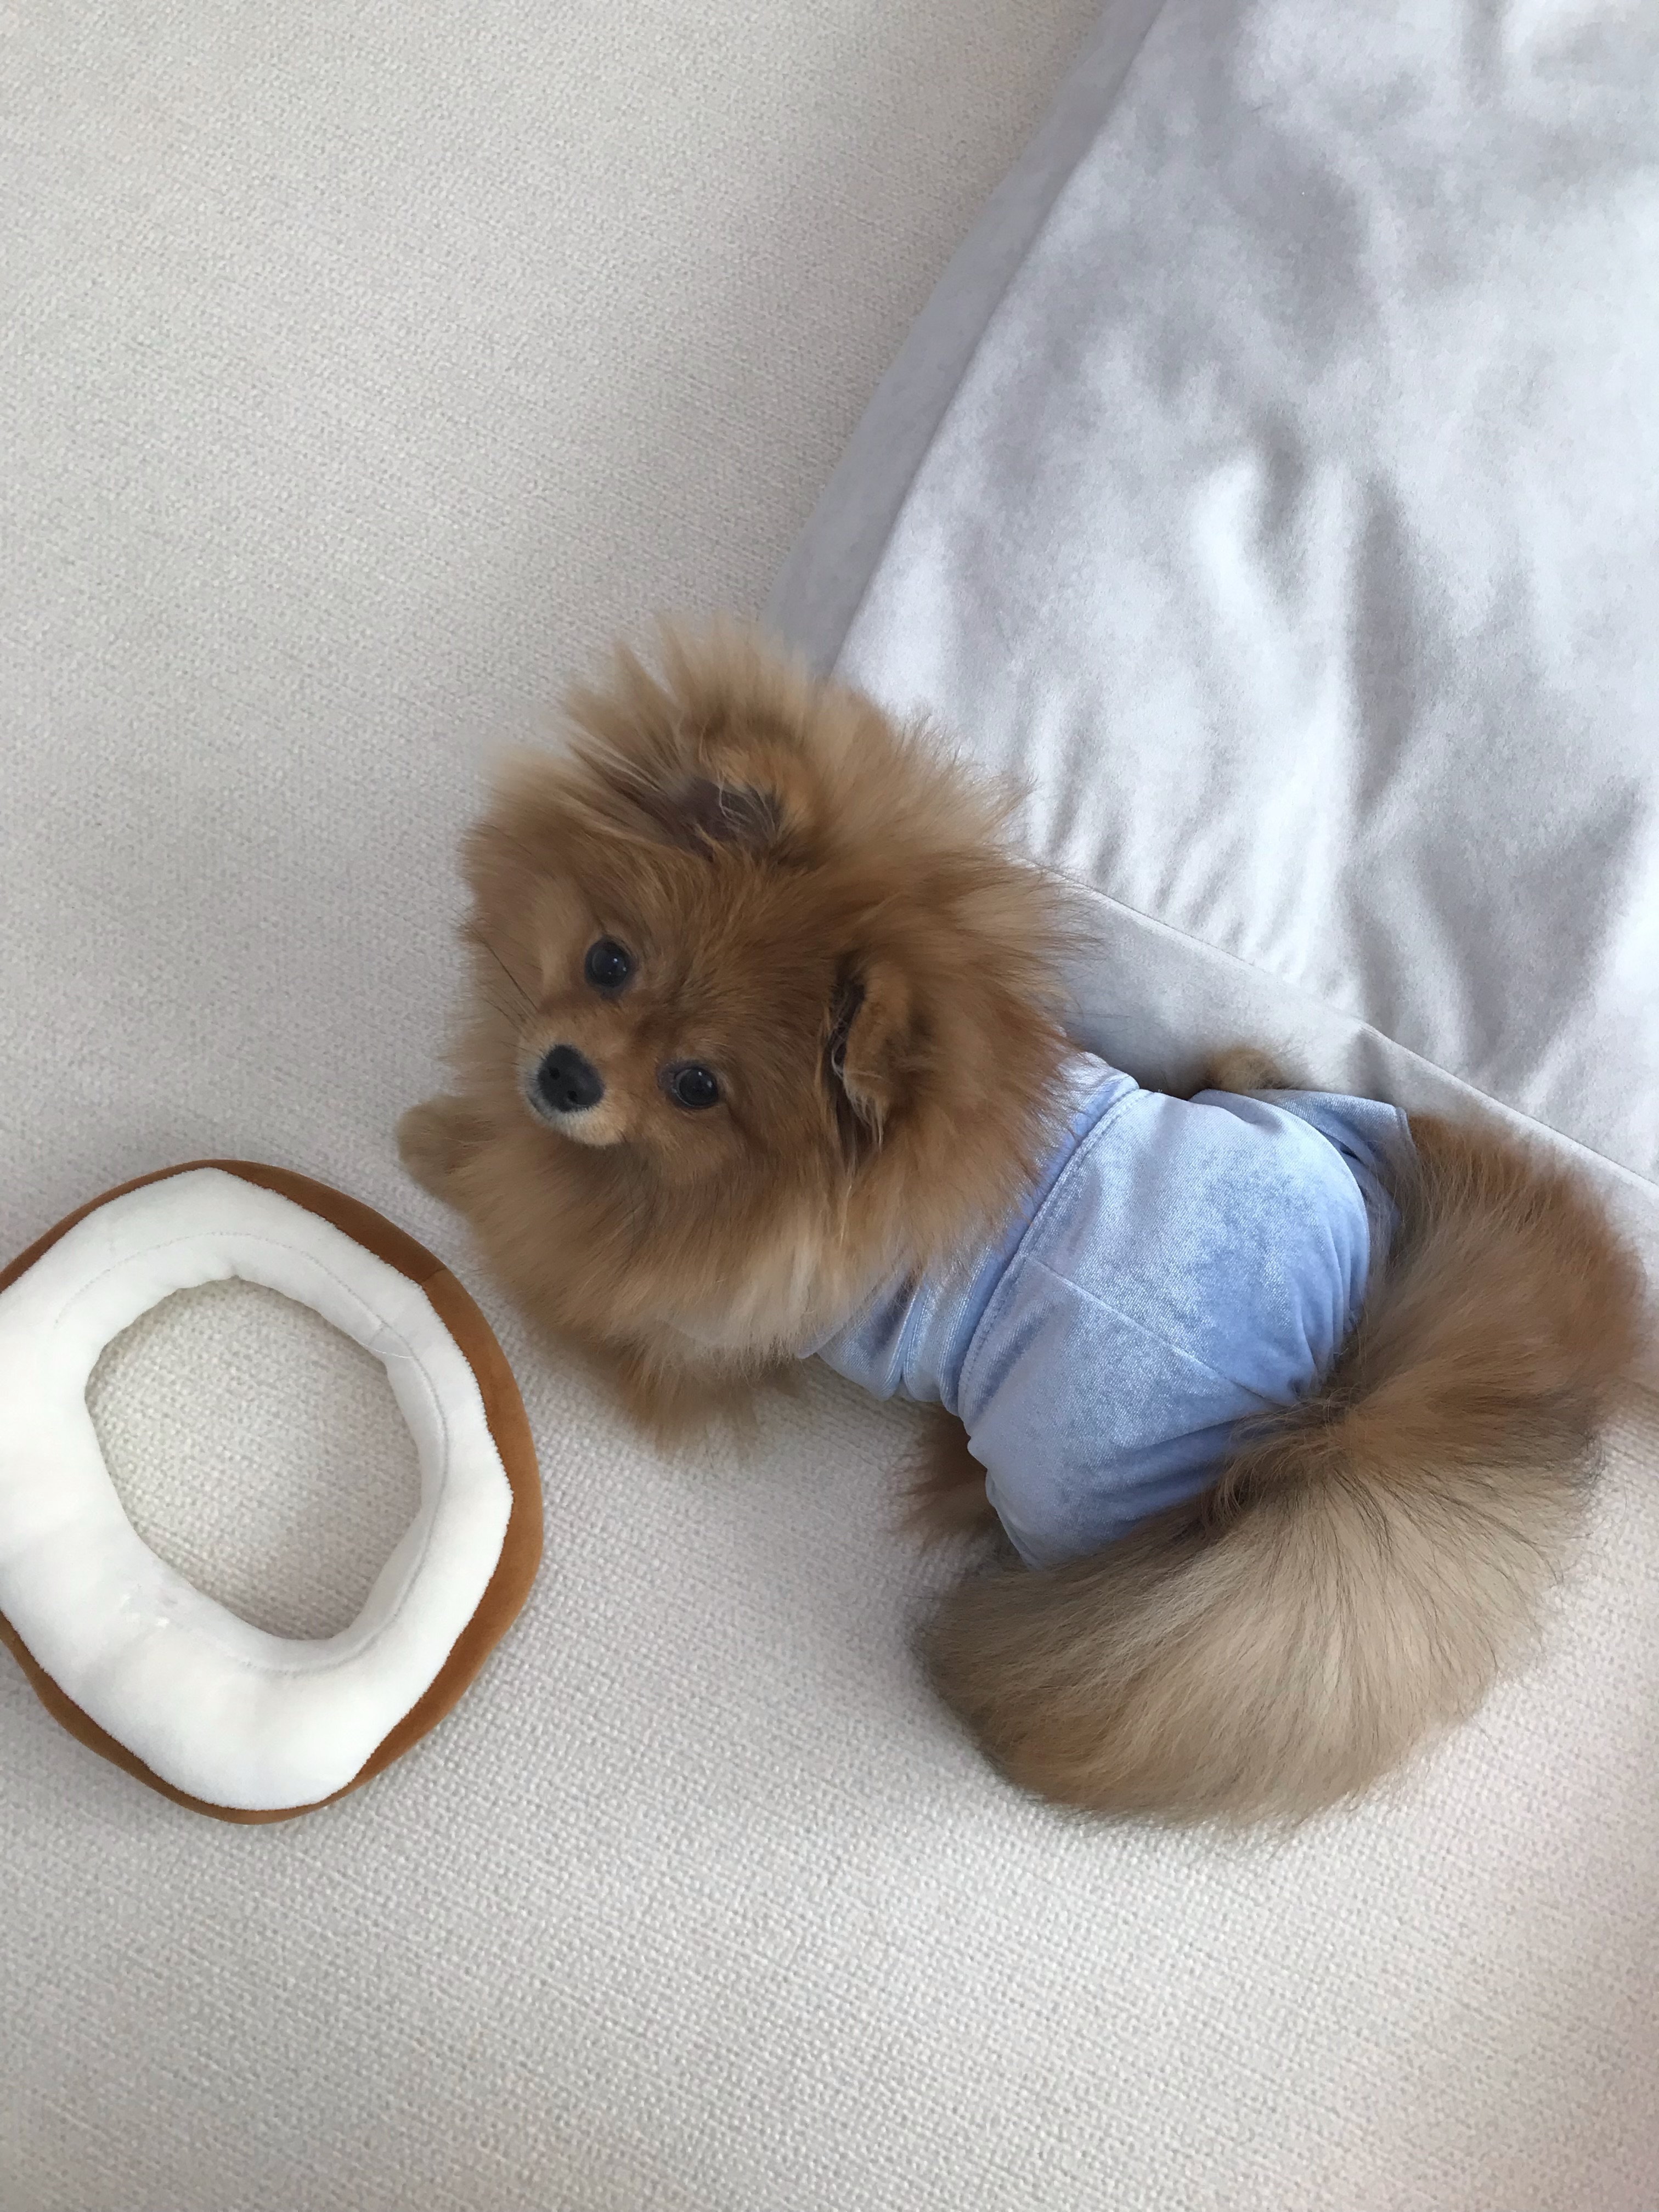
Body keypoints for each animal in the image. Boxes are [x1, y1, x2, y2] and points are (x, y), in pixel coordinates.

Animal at [400, 626, 1644, 1824]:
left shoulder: (677, 1325)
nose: (564, 1076)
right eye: (609, 960)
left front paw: (442, 1142)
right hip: (1283, 1119)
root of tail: (1331, 1401)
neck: (741, 1189)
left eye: (696, 1085)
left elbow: (528, 1215)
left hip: (1052, 1462)